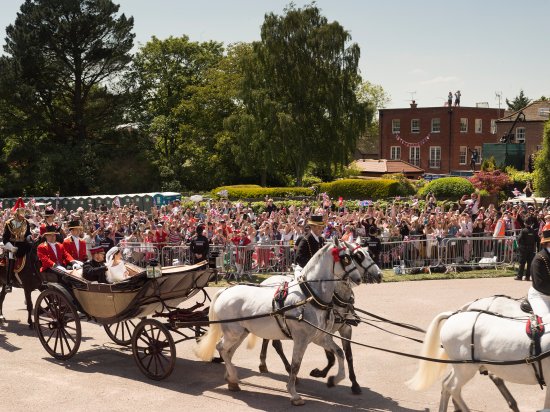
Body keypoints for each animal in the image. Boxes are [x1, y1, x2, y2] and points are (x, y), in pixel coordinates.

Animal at [196, 240, 364, 404]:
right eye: (346, 258)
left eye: (354, 257)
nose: (358, 279)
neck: (309, 297)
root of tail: (226, 290)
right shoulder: (301, 339)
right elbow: (296, 365)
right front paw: (294, 394)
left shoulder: (319, 337)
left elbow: (340, 353)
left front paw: (334, 379)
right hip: (233, 333)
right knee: (221, 348)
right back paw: (233, 377)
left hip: (241, 333)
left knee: (228, 352)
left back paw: (231, 379)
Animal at [258, 243, 384, 394]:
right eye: (358, 256)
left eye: (368, 253)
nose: (379, 275)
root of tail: (266, 280)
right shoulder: (324, 331)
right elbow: (331, 357)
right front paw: (322, 373)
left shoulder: (345, 329)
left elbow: (348, 355)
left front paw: (354, 383)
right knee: (274, 343)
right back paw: (283, 368)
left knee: (268, 338)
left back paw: (265, 364)